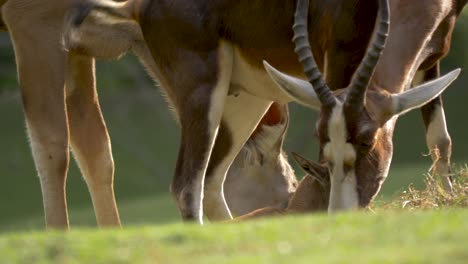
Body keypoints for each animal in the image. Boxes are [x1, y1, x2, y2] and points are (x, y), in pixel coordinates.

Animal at [66, 0, 464, 223]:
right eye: (322, 138)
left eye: (367, 141)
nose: (340, 217)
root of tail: (135, 6)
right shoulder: (338, 55)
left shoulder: (434, 53)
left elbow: (440, 139)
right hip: (203, 91)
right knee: (187, 186)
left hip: (245, 101)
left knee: (211, 181)